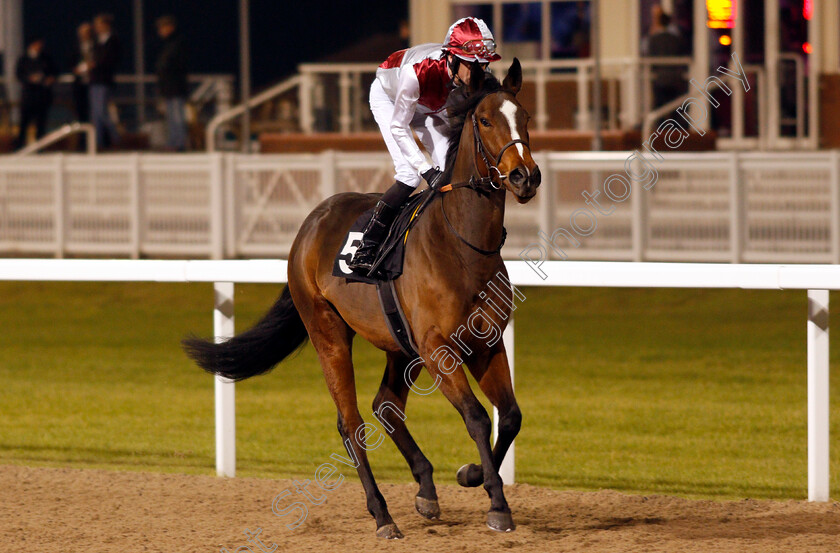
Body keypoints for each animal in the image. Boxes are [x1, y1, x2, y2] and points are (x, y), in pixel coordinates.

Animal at [183, 58, 540, 536]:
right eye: (484, 120)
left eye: (526, 117)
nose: (525, 176)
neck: (463, 246)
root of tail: (309, 225)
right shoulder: (438, 349)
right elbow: (479, 417)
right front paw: (497, 503)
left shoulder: (485, 342)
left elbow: (511, 415)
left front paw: (472, 475)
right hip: (328, 332)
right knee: (351, 422)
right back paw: (383, 514)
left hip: (399, 345)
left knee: (384, 405)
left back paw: (426, 490)